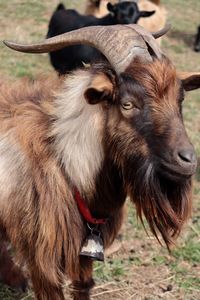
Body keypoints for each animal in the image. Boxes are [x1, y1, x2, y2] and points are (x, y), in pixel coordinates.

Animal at [1, 24, 200, 300]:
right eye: (127, 104)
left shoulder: (84, 251)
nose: (187, 160)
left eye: (179, 99)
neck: (67, 163)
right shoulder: (43, 258)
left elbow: (83, 285)